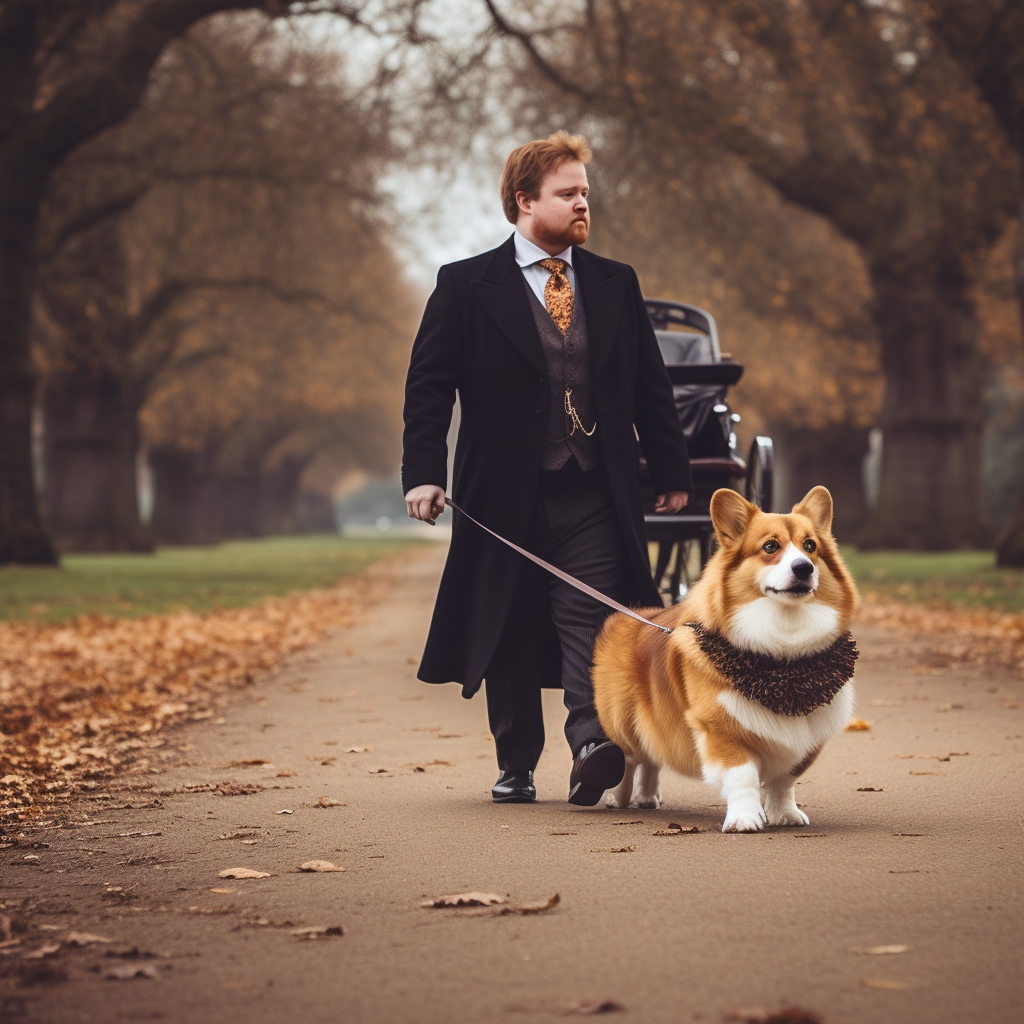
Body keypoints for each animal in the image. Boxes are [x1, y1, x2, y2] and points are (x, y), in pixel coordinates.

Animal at [589, 485, 860, 831]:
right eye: (770, 546)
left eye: (810, 546)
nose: (804, 568)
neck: (783, 647)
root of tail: (633, 616)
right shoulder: (721, 729)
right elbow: (743, 777)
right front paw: (745, 819)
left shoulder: (806, 739)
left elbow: (784, 781)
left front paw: (785, 814)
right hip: (625, 727)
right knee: (628, 760)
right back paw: (617, 798)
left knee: (652, 759)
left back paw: (648, 797)